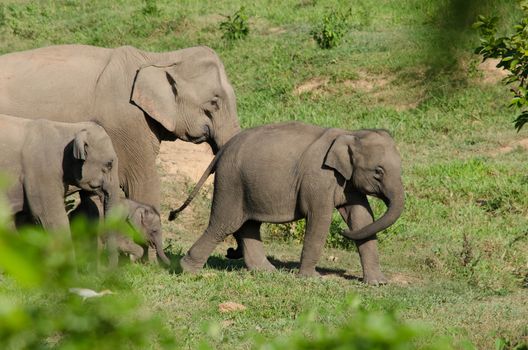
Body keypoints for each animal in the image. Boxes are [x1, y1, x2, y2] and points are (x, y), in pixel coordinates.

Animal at [169, 121, 404, 284]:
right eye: (378, 172)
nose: (342, 232)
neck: (351, 133)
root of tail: (222, 150)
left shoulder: (348, 182)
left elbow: (362, 218)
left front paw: (378, 283)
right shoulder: (318, 178)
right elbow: (320, 218)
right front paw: (312, 279)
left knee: (248, 224)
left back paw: (266, 271)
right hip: (231, 181)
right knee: (224, 224)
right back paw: (186, 270)